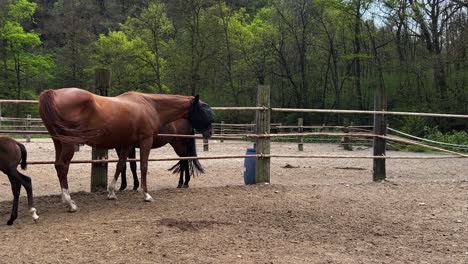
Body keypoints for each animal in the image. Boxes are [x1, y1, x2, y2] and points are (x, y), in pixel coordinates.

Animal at [39, 87, 215, 211]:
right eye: (203, 110)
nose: (209, 132)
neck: (149, 105)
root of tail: (52, 93)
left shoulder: (127, 144)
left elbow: (121, 165)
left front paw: (112, 192)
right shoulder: (145, 141)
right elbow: (143, 166)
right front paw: (146, 194)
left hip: (58, 142)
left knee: (58, 166)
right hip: (68, 143)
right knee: (62, 166)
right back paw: (70, 203)